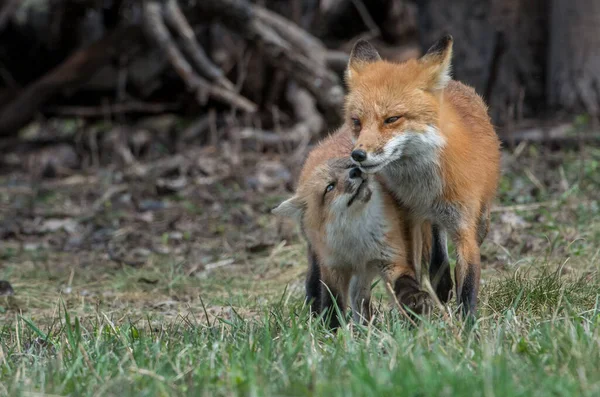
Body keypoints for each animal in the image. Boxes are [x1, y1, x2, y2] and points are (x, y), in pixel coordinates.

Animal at [272, 127, 432, 328]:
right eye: (330, 187)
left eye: (349, 165)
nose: (356, 171)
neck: (356, 240)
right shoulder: (333, 268)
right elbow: (332, 302)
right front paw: (331, 329)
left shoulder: (390, 258)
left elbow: (405, 283)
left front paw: (415, 300)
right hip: (319, 259)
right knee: (318, 286)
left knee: (360, 295)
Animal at [344, 35, 500, 318]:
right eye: (356, 121)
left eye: (392, 119)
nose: (358, 155)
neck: (422, 189)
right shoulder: (405, 222)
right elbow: (412, 271)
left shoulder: (464, 228)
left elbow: (468, 287)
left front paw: (468, 326)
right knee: (436, 244)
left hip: (481, 220)